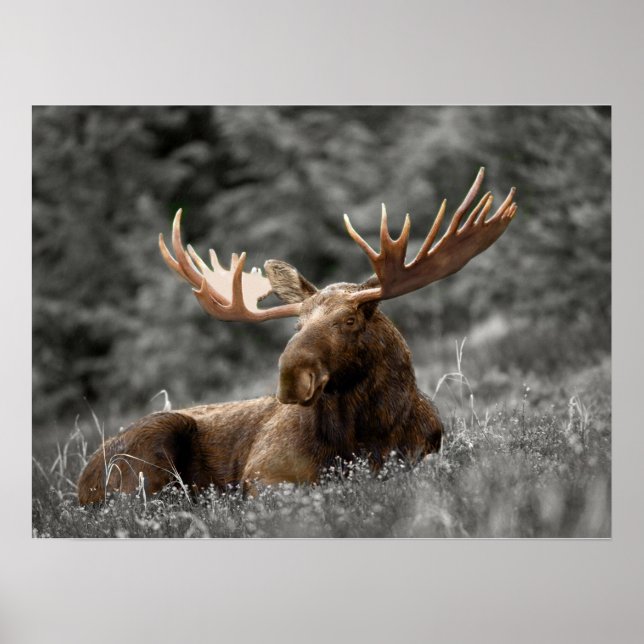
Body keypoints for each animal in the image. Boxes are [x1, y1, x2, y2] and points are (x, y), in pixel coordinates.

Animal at [77, 168, 517, 504]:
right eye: (297, 325)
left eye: (349, 320)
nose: (291, 376)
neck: (366, 437)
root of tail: (80, 482)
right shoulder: (264, 473)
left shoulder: (425, 455)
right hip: (147, 455)